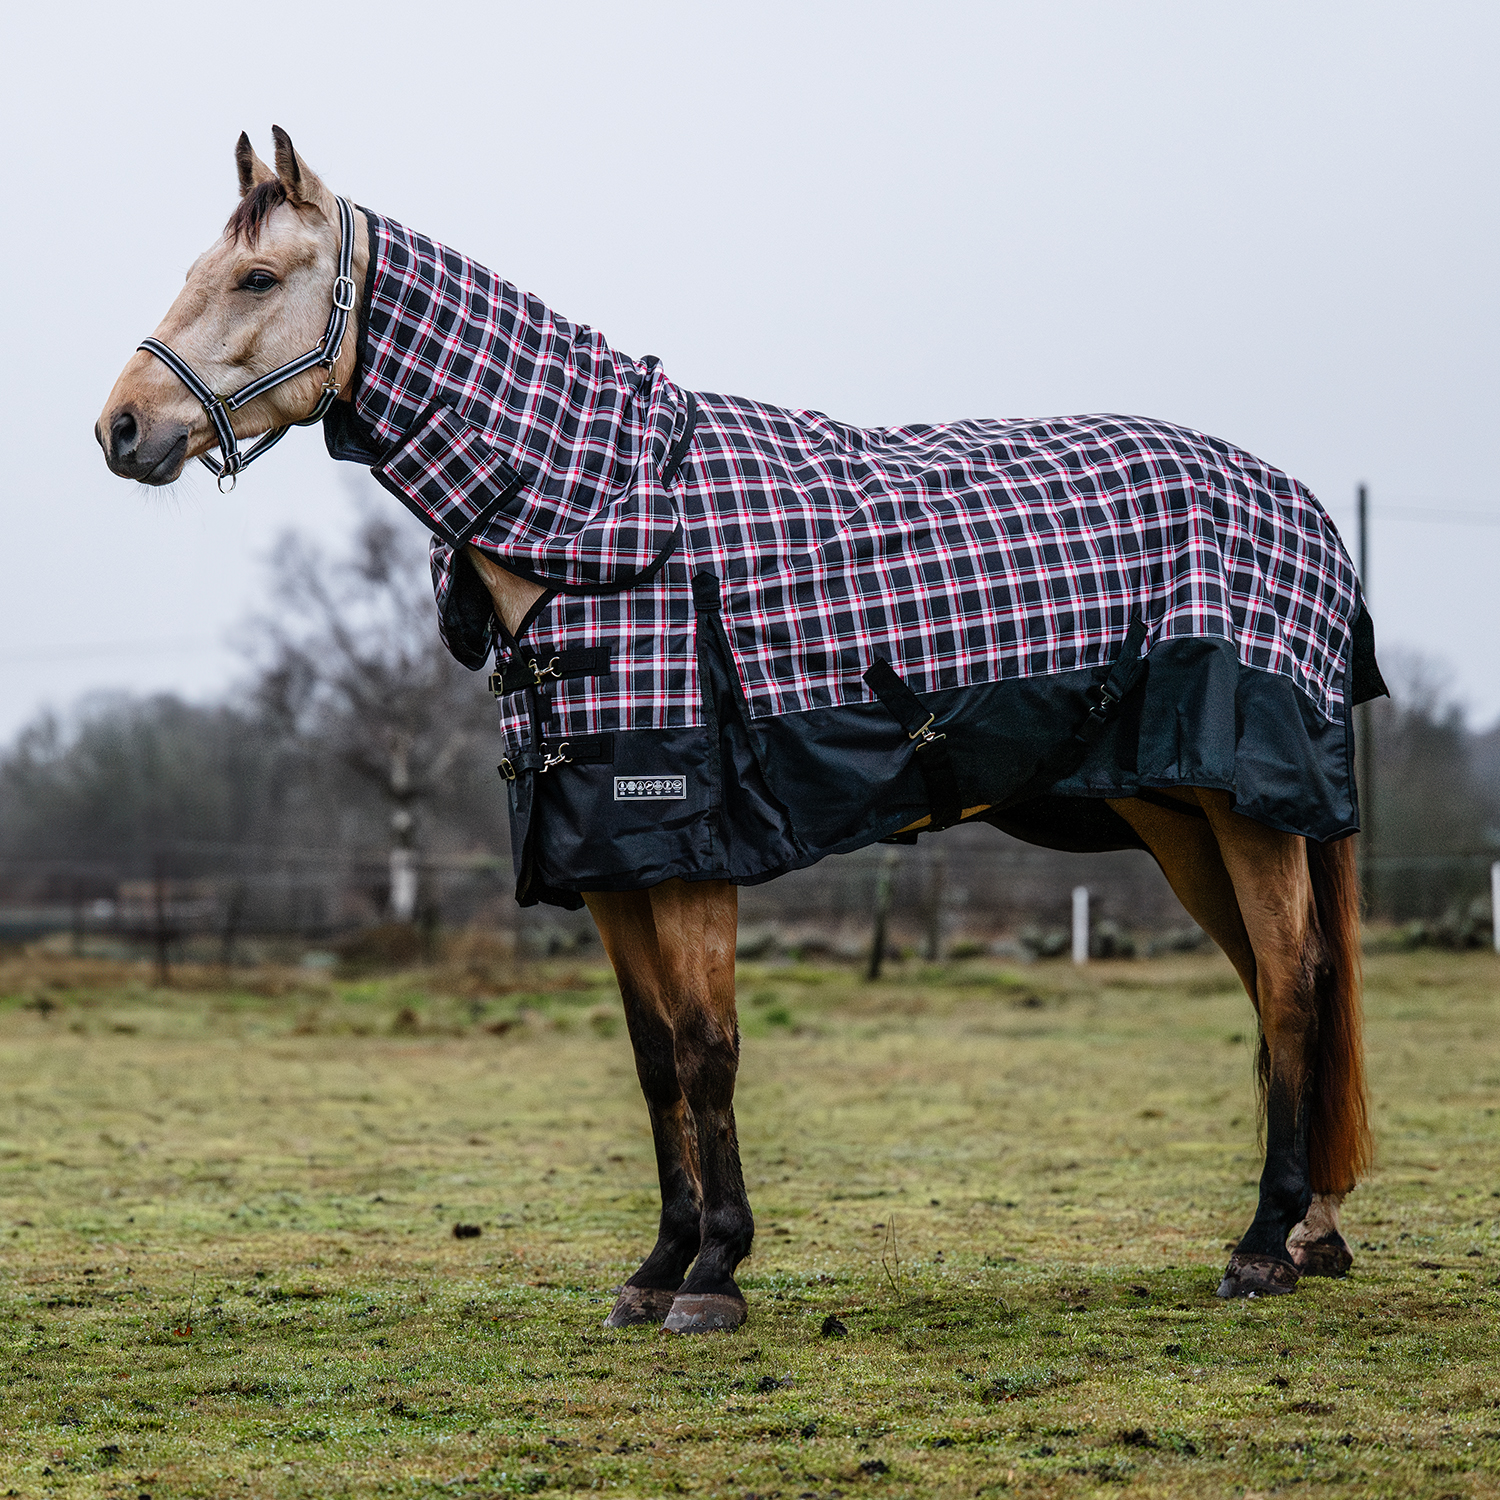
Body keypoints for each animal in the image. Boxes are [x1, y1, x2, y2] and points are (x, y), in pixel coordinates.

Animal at [99, 126, 1374, 1326]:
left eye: (258, 277)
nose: (120, 427)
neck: (606, 526)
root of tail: (1301, 503)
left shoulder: (686, 849)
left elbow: (709, 1049)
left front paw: (715, 1273)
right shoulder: (605, 862)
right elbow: (654, 1057)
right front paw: (658, 1267)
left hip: (1247, 810)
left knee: (1294, 988)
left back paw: (1263, 1248)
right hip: (1182, 817)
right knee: (1275, 991)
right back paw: (1309, 1235)